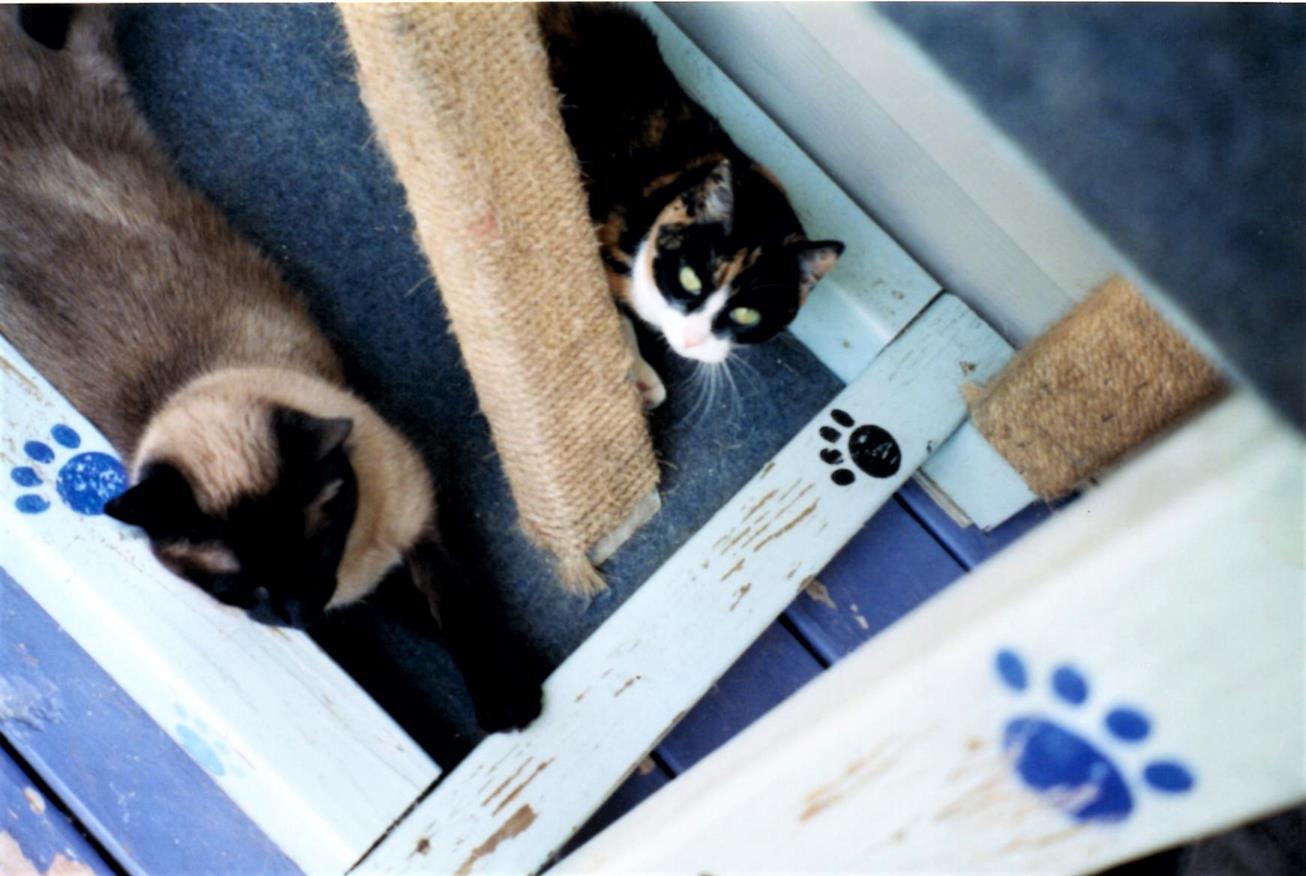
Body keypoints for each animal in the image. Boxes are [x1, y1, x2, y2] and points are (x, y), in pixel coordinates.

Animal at [0, 5, 540, 731]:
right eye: (241, 588)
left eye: (310, 554)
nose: (297, 615)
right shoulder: (372, 580)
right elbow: (417, 613)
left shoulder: (423, 530)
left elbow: (459, 609)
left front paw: (512, 701)